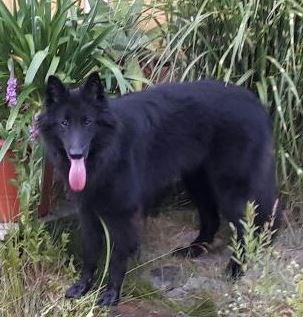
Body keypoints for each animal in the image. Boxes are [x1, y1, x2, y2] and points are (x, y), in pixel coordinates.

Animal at [39, 73, 282, 304]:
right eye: (64, 123)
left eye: (88, 122)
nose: (76, 154)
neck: (108, 151)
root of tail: (256, 103)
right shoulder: (88, 212)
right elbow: (89, 253)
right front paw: (82, 287)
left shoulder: (123, 215)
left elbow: (117, 257)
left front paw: (111, 294)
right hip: (197, 182)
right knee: (211, 218)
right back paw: (195, 249)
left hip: (231, 190)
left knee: (244, 228)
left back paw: (236, 269)